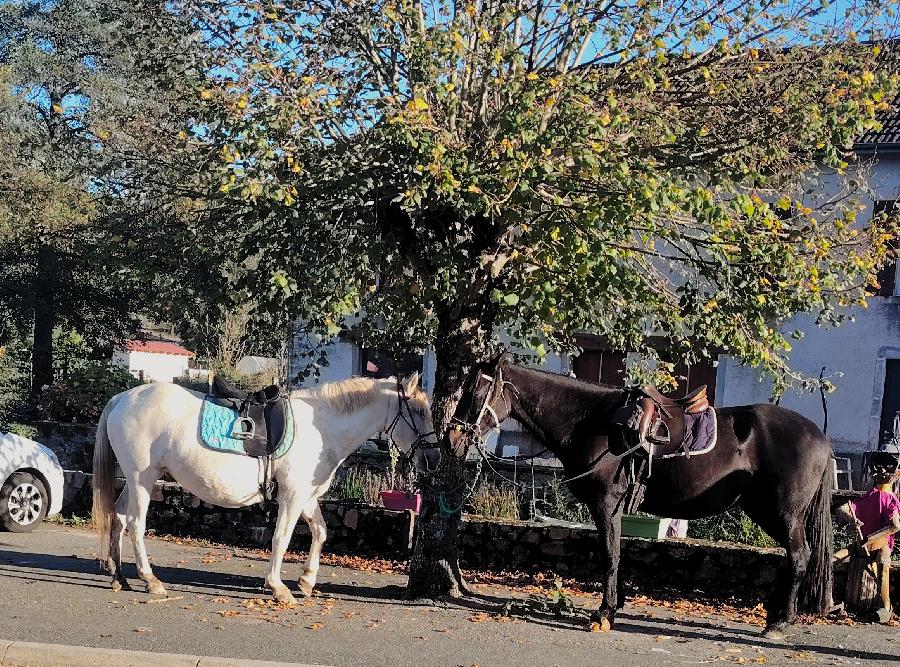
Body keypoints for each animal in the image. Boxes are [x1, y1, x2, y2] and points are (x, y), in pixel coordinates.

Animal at [93, 376, 434, 604]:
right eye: (418, 411)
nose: (434, 458)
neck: (322, 428)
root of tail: (122, 398)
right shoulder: (292, 497)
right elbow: (281, 539)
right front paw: (278, 588)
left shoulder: (307, 497)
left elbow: (321, 532)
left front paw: (307, 580)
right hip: (142, 478)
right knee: (136, 524)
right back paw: (150, 580)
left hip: (136, 480)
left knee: (119, 518)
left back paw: (118, 576)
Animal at [458, 358, 836, 640]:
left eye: (476, 392)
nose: (453, 436)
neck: (593, 423)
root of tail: (820, 437)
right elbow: (616, 553)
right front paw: (615, 604)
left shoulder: (605, 504)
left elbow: (609, 555)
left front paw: (604, 613)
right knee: (793, 558)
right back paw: (774, 615)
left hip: (783, 514)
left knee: (800, 557)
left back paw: (780, 622)